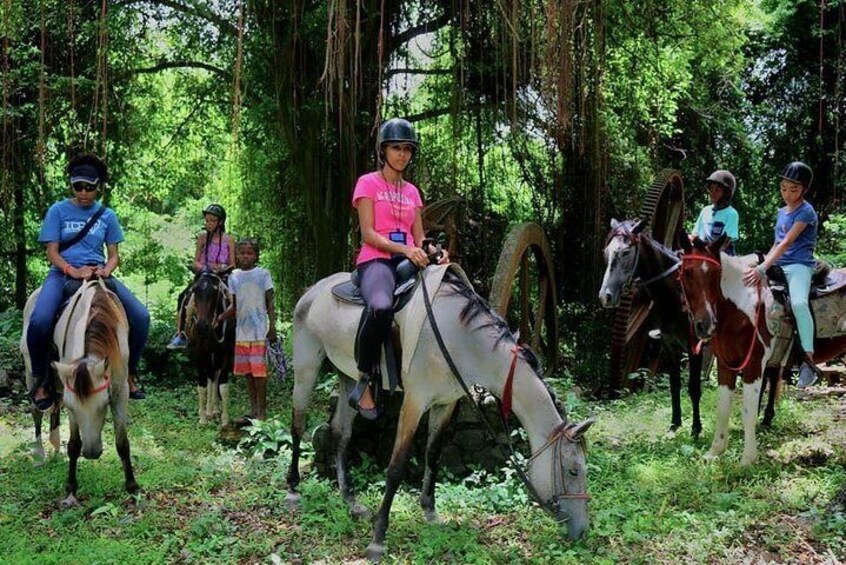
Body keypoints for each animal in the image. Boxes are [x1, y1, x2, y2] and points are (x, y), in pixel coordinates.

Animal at [20, 278, 137, 502]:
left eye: (104, 405)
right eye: (73, 409)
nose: (91, 453)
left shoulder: (120, 392)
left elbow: (122, 442)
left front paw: (133, 488)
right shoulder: (70, 396)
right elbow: (74, 444)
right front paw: (70, 490)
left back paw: (55, 449)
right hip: (31, 373)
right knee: (37, 413)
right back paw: (40, 455)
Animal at [186, 268, 235, 424]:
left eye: (214, 292)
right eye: (195, 290)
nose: (202, 326)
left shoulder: (226, 353)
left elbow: (223, 385)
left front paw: (225, 419)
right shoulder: (200, 352)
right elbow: (202, 384)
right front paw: (202, 417)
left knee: (215, 376)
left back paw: (215, 409)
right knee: (211, 377)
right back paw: (209, 411)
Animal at [288, 264, 592, 560]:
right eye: (574, 471)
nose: (581, 531)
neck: (461, 339)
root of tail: (314, 289)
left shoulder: (446, 403)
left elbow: (433, 454)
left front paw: (430, 512)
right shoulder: (414, 401)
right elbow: (396, 468)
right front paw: (378, 540)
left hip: (349, 376)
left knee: (341, 433)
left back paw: (350, 501)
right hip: (306, 365)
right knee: (298, 424)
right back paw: (293, 490)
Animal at [600, 220, 712, 436]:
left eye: (626, 252)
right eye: (606, 251)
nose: (605, 296)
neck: (676, 295)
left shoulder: (694, 346)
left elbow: (694, 387)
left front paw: (696, 429)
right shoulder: (670, 345)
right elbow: (675, 384)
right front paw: (674, 425)